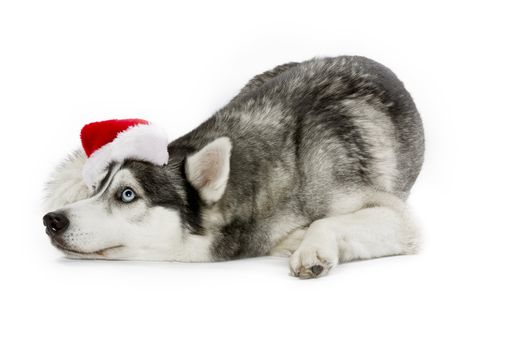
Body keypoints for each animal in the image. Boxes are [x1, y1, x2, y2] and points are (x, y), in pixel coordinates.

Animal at [43, 55, 424, 278]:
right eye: (96, 189)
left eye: (127, 194)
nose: (51, 220)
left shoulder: (397, 217)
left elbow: (327, 221)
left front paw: (310, 246)